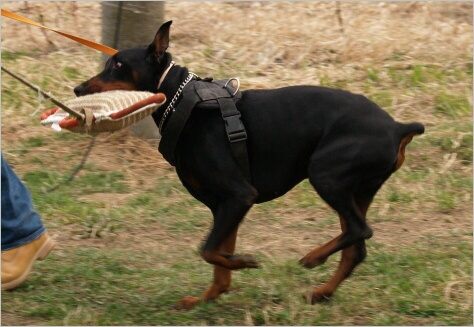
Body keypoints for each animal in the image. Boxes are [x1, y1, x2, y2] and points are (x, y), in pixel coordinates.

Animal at [75, 21, 426, 310]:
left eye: (119, 64)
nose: (78, 88)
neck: (182, 101)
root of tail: (398, 127)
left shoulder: (238, 195)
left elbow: (208, 251)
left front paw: (243, 262)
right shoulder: (224, 205)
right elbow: (217, 260)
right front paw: (206, 297)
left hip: (326, 174)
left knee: (359, 230)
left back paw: (313, 258)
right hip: (357, 189)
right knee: (356, 247)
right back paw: (321, 293)